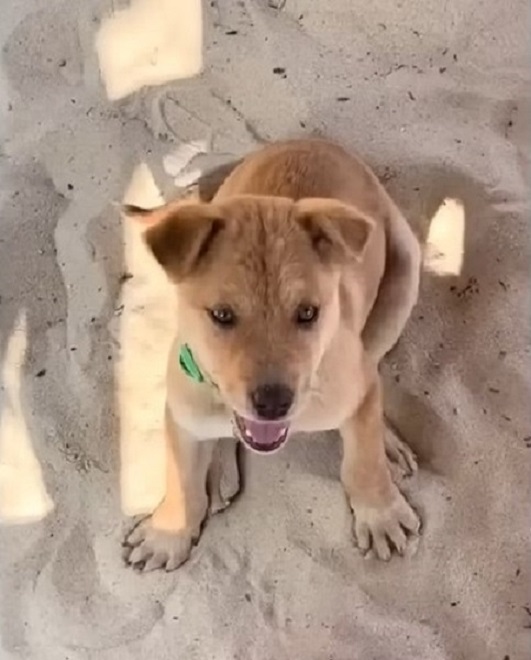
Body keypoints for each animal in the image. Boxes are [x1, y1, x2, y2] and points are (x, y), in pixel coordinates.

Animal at [122, 141, 422, 572]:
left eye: (308, 313)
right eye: (222, 315)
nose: (273, 403)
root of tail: (312, 141)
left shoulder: (357, 385)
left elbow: (363, 461)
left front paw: (380, 514)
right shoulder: (182, 409)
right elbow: (180, 479)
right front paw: (167, 534)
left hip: (406, 264)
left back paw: (389, 444)